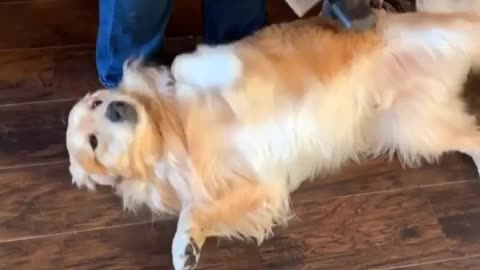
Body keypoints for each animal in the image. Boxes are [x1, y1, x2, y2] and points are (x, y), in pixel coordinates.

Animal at [65, 6, 480, 270]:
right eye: (93, 144)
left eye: (98, 101)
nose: (117, 109)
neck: (171, 135)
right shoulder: (259, 184)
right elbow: (197, 211)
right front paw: (186, 246)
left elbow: (184, 64)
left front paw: (186, 66)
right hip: (416, 130)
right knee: (474, 137)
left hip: (446, 37)